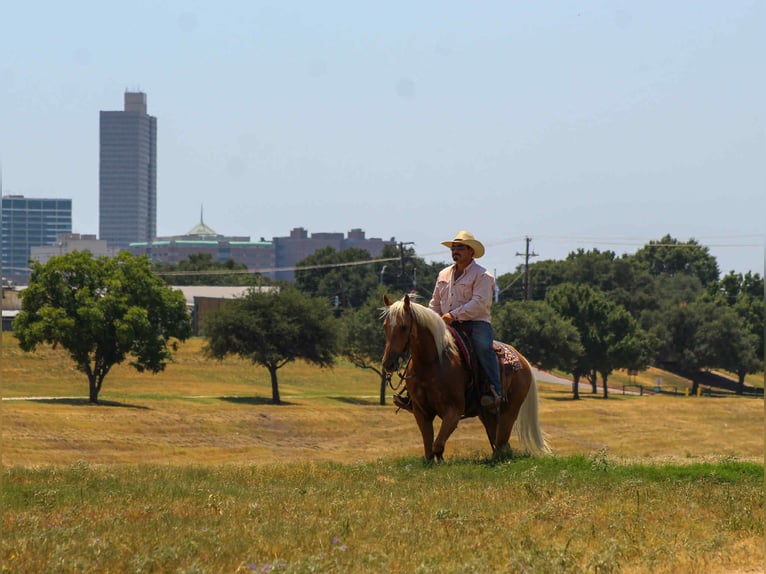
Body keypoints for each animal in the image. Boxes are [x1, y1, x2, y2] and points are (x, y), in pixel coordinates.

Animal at [381, 294, 550, 461]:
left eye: (403, 327)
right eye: (385, 326)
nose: (388, 363)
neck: (431, 363)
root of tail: (523, 360)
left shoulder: (454, 411)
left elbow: (437, 445)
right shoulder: (421, 412)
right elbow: (429, 449)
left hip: (509, 411)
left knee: (502, 441)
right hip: (488, 414)